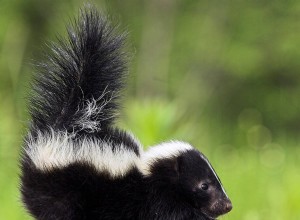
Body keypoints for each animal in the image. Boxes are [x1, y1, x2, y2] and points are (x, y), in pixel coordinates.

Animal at [20, 6, 232, 220]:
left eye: (217, 180)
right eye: (204, 185)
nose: (227, 205)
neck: (146, 173)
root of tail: (66, 124)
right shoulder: (152, 200)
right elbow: (171, 212)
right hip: (60, 191)